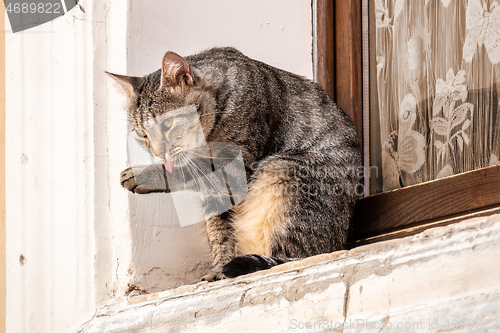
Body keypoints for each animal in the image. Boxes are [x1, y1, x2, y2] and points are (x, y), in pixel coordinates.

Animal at [107, 46, 362, 280]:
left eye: (167, 124)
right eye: (142, 134)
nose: (158, 154)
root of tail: (341, 241)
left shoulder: (235, 170)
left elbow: (189, 171)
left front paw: (144, 175)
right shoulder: (217, 198)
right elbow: (220, 233)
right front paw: (218, 269)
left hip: (283, 169)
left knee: (301, 255)